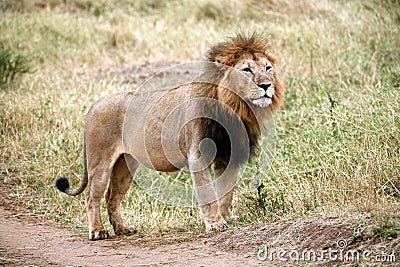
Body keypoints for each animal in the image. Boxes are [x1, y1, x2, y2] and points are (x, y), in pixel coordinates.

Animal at [55, 33, 284, 241]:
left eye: (267, 68)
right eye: (246, 70)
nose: (266, 86)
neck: (235, 109)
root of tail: (95, 105)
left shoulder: (228, 154)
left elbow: (226, 192)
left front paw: (227, 217)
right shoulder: (198, 155)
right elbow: (208, 194)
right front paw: (216, 224)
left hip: (125, 166)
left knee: (112, 197)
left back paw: (122, 229)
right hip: (100, 162)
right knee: (92, 198)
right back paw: (97, 231)